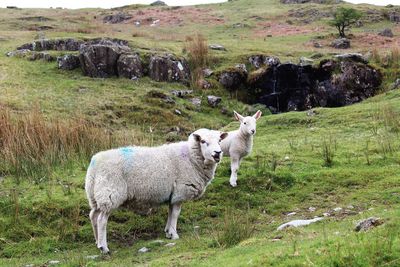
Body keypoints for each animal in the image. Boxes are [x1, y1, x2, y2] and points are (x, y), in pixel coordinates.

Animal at [84, 129, 228, 254]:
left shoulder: (173, 195)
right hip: (110, 194)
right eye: (203, 141)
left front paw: (168, 232)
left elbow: (170, 213)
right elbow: (175, 214)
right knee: (101, 220)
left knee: (93, 216)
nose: (217, 153)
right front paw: (174, 234)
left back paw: (97, 242)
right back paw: (104, 247)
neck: (191, 158)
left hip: (95, 196)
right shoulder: (180, 191)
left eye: (219, 140)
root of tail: (94, 163)